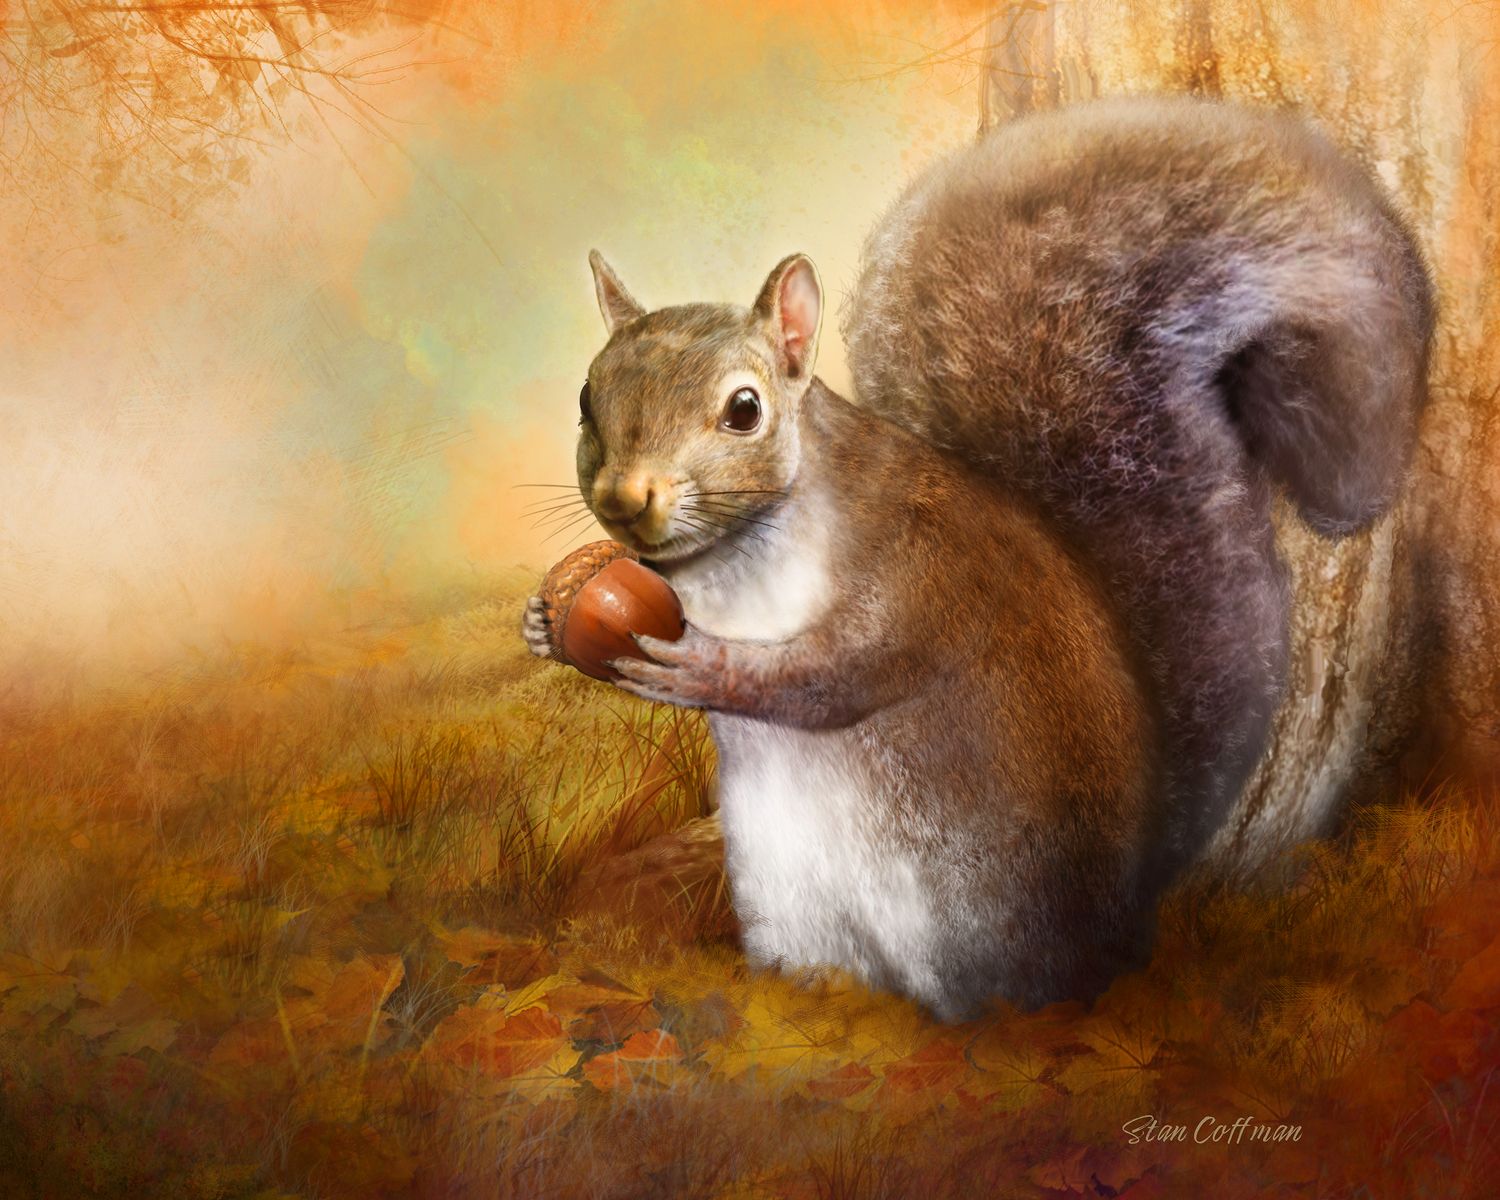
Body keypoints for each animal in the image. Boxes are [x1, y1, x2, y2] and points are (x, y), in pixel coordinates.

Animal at [522, 95, 1434, 1020]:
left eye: (745, 410)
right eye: (586, 398)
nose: (625, 499)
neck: (732, 565)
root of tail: (1124, 923)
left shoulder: (917, 569)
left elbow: (836, 673)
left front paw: (705, 666)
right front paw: (543, 620)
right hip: (788, 912)